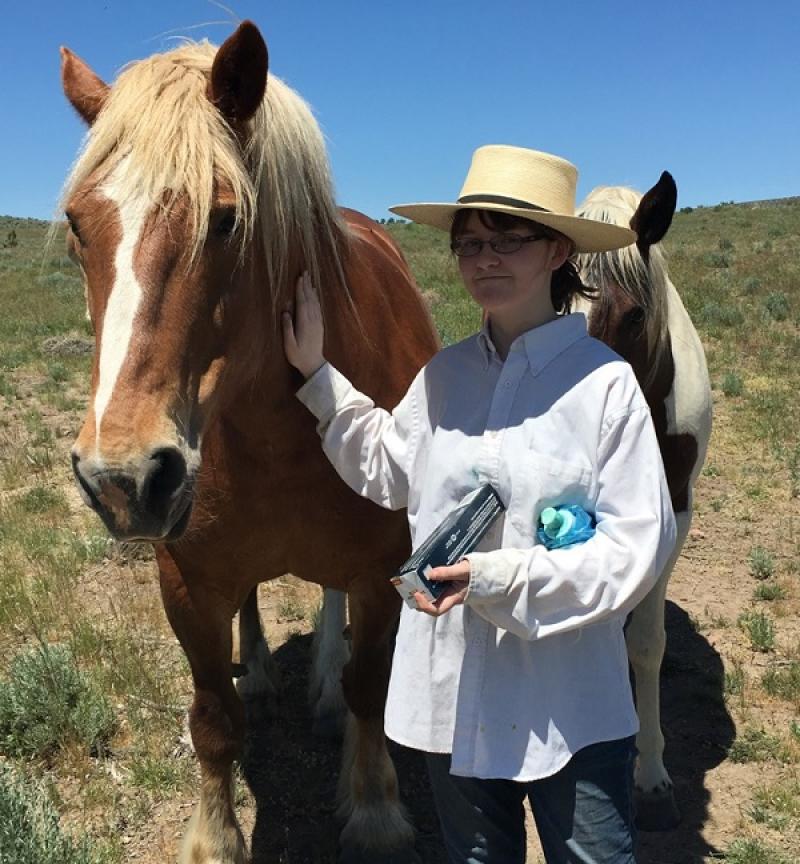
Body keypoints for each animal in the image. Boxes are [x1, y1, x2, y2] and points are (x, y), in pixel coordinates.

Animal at [60, 20, 438, 864]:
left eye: (227, 219)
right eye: (76, 227)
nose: (122, 479)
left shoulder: (382, 571)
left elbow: (370, 687)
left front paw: (374, 807)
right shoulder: (188, 583)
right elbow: (212, 719)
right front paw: (214, 834)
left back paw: (321, 688)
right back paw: (263, 672)